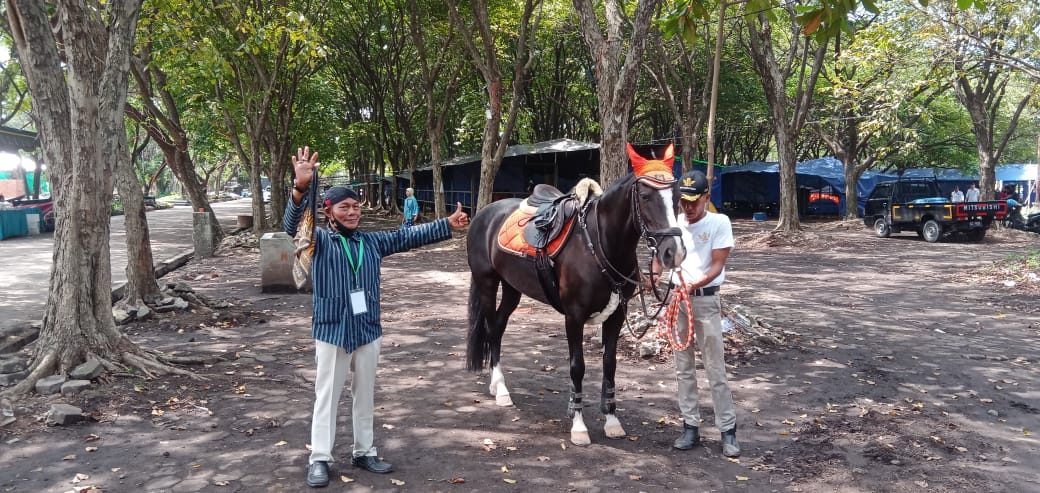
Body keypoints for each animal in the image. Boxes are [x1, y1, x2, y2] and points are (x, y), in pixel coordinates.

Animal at [465, 143, 686, 445]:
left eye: (676, 196)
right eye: (644, 195)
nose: (673, 252)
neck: (599, 243)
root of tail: (484, 214)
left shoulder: (617, 315)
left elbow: (609, 364)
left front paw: (612, 421)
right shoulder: (574, 316)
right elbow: (577, 366)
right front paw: (579, 425)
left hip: (512, 289)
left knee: (497, 329)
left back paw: (497, 386)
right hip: (487, 283)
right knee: (490, 330)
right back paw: (500, 390)